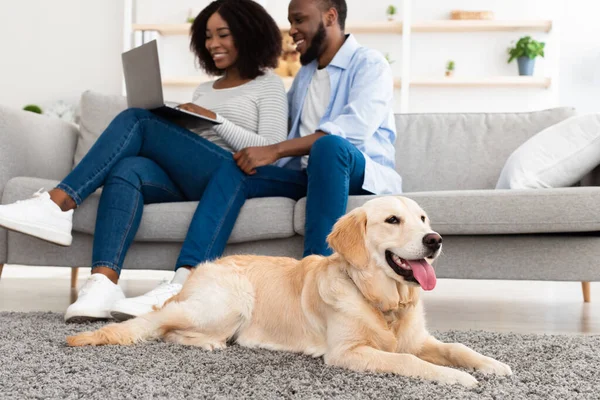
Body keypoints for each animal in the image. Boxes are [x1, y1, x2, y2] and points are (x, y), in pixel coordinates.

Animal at [69, 197, 510, 388]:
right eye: (392, 220)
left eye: (422, 219)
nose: (435, 240)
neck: (383, 302)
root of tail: (198, 272)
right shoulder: (348, 352)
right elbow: (409, 362)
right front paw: (456, 378)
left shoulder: (418, 338)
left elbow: (456, 347)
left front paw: (491, 364)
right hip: (227, 304)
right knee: (162, 325)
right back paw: (205, 343)